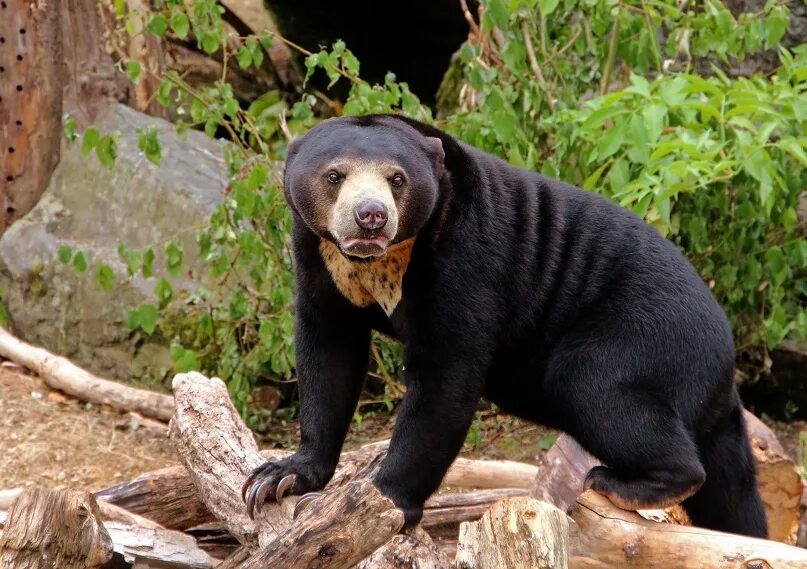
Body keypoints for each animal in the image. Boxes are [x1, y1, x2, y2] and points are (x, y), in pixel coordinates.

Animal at [241, 113, 772, 536]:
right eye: (334, 175)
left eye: (397, 179)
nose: (370, 217)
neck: (378, 266)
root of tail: (725, 357)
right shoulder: (317, 262)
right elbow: (328, 355)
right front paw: (278, 478)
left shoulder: (468, 259)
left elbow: (446, 379)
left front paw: (386, 501)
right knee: (732, 495)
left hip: (645, 336)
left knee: (599, 387)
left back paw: (623, 482)